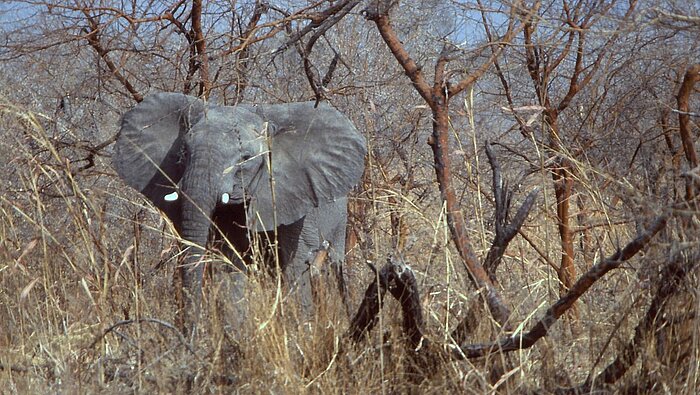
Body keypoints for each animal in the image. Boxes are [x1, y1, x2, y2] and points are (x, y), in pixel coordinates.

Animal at [112, 93, 366, 338]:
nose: (188, 338)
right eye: (183, 153)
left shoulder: (298, 199)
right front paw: (238, 338)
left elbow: (296, 265)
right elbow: (231, 267)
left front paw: (300, 334)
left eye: (245, 158)